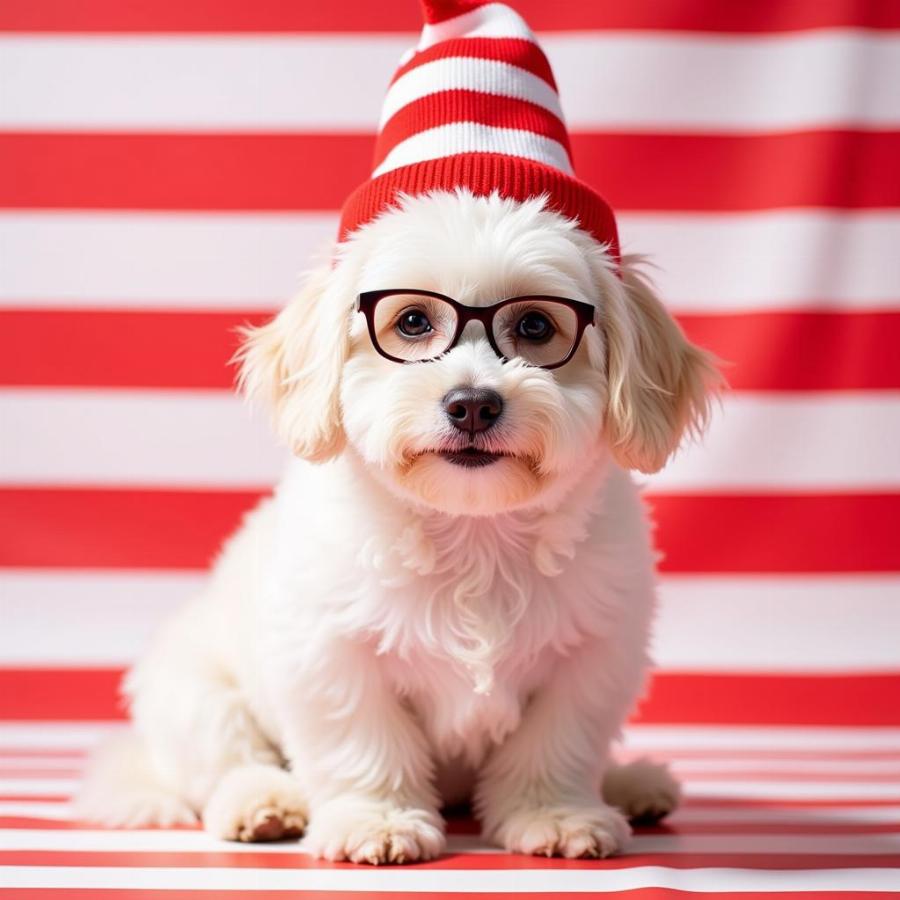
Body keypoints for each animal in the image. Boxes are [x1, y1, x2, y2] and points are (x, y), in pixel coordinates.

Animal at [81, 190, 720, 864]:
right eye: (412, 321)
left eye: (536, 326)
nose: (472, 403)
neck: (473, 534)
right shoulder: (330, 656)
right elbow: (364, 743)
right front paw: (377, 821)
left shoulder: (594, 657)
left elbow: (556, 745)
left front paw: (556, 813)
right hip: (193, 692)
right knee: (225, 762)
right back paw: (264, 804)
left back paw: (634, 783)